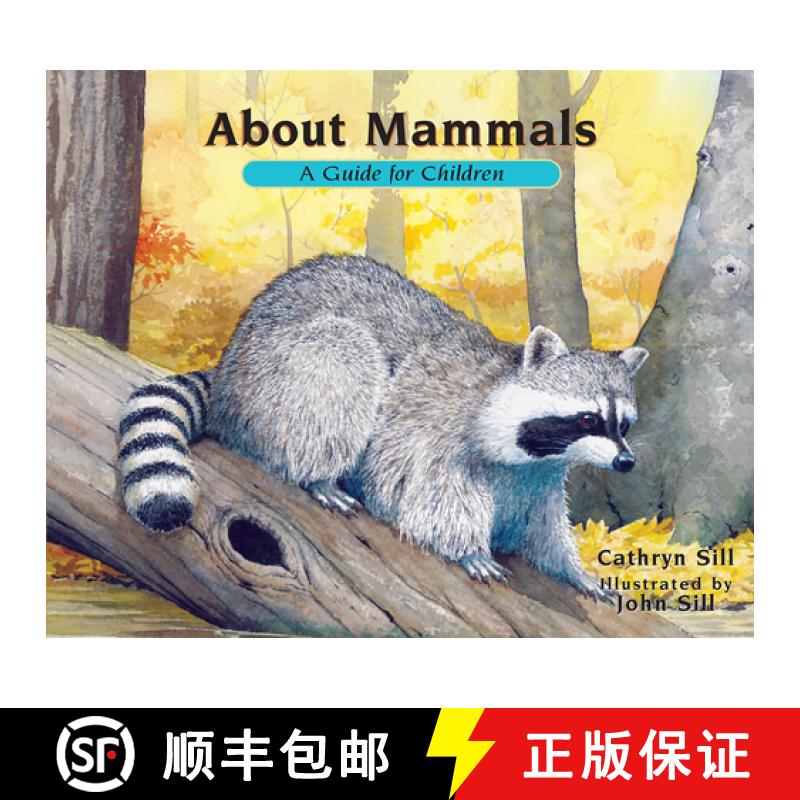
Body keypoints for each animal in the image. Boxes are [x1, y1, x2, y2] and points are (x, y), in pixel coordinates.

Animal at [118, 254, 647, 598]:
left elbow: (542, 525)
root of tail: (230, 367)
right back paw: (320, 474)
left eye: (624, 422)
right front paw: (466, 547)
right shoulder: (436, 425)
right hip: (284, 373)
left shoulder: (536, 477)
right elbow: (427, 492)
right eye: (587, 417)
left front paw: (571, 569)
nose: (626, 462)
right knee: (343, 362)